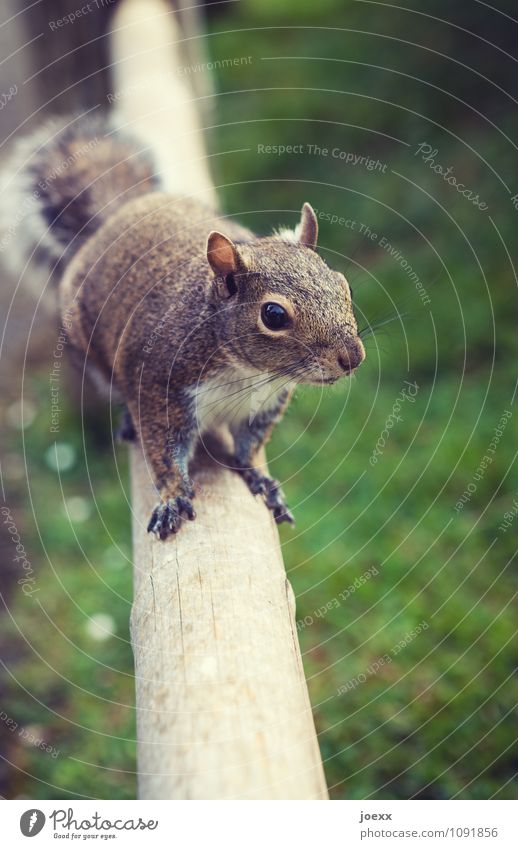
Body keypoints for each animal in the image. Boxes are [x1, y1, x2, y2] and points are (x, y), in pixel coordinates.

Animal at [1, 9, 366, 540]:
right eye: (274, 316)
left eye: (344, 285)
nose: (352, 358)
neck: (245, 372)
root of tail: (123, 210)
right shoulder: (159, 387)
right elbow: (164, 453)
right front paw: (173, 496)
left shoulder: (265, 404)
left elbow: (249, 448)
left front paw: (261, 479)